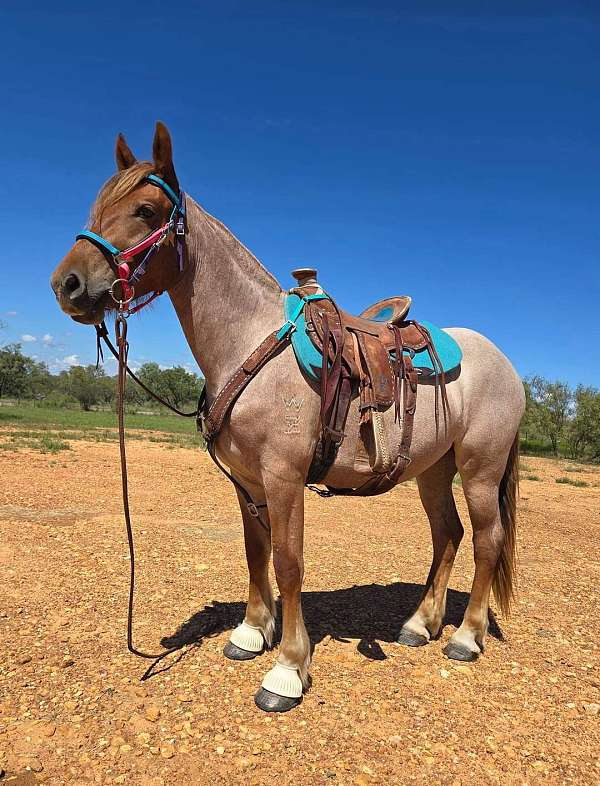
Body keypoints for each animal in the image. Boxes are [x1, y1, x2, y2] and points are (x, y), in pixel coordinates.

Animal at [49, 121, 524, 712]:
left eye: (145, 210)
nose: (66, 284)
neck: (250, 342)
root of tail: (507, 366)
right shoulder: (247, 480)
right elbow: (256, 553)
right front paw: (252, 633)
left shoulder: (283, 477)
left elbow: (288, 561)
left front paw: (288, 669)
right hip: (434, 468)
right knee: (448, 535)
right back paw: (420, 625)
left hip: (480, 468)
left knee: (486, 540)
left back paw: (465, 636)